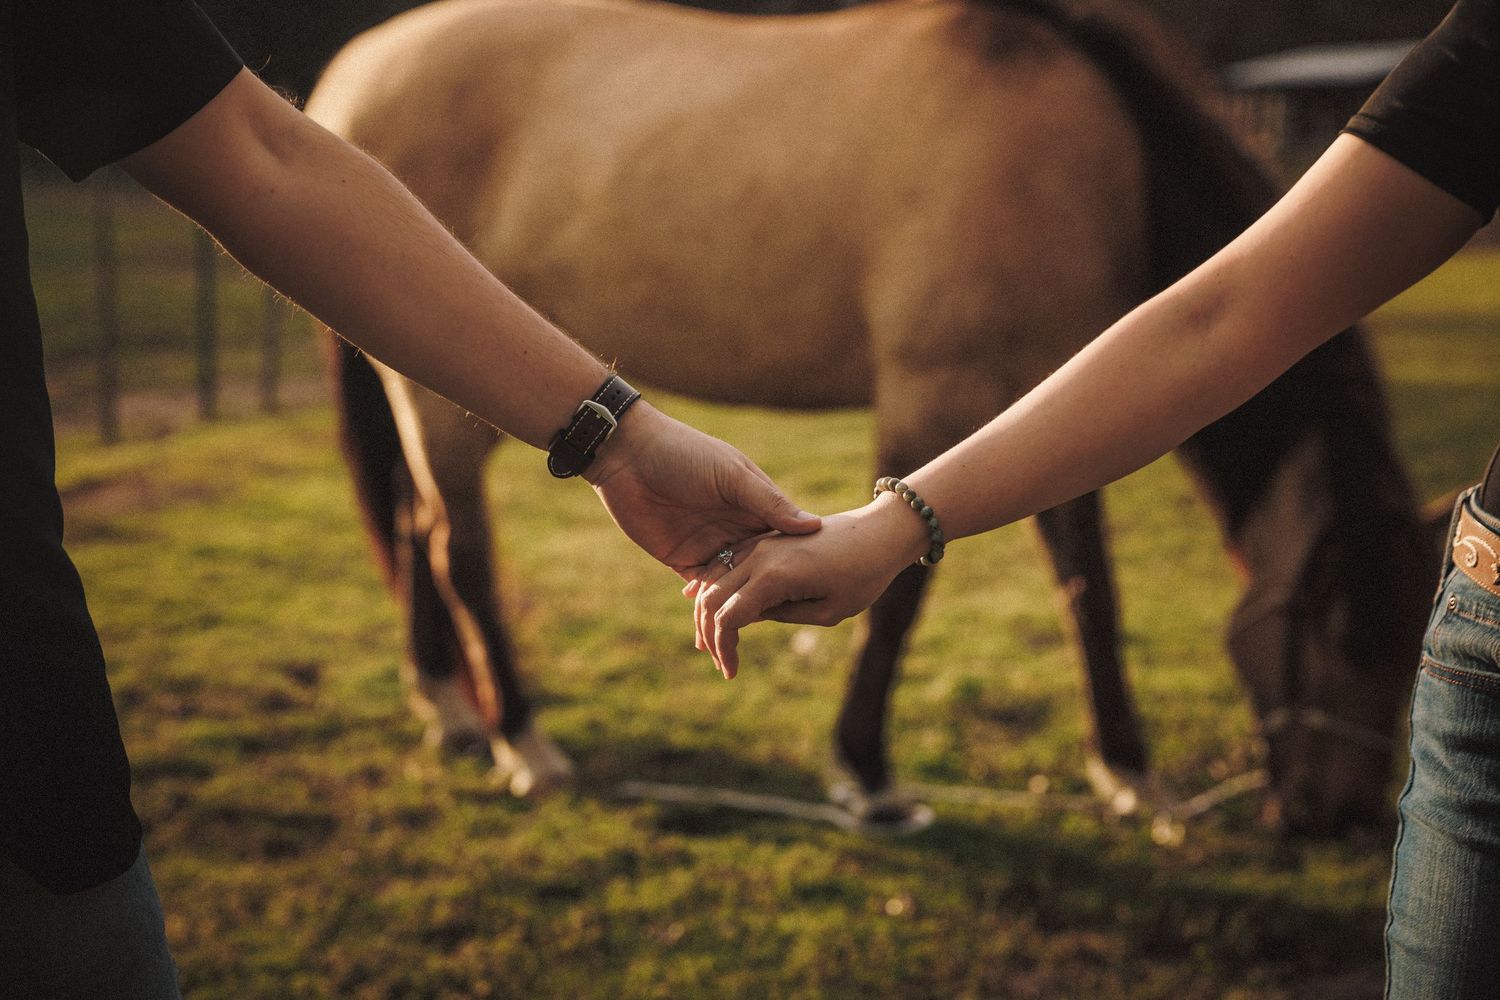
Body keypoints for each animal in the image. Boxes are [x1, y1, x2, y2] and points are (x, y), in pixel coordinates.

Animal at [306, 0, 1437, 834]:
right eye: (1341, 630)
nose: (1339, 819)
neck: (1094, 162)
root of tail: (354, 74)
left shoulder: (1044, 394)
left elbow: (1088, 590)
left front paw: (1126, 772)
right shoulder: (937, 396)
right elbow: (900, 593)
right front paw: (867, 771)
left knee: (412, 526)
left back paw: (451, 708)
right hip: (440, 406)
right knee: (456, 548)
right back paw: (525, 744)